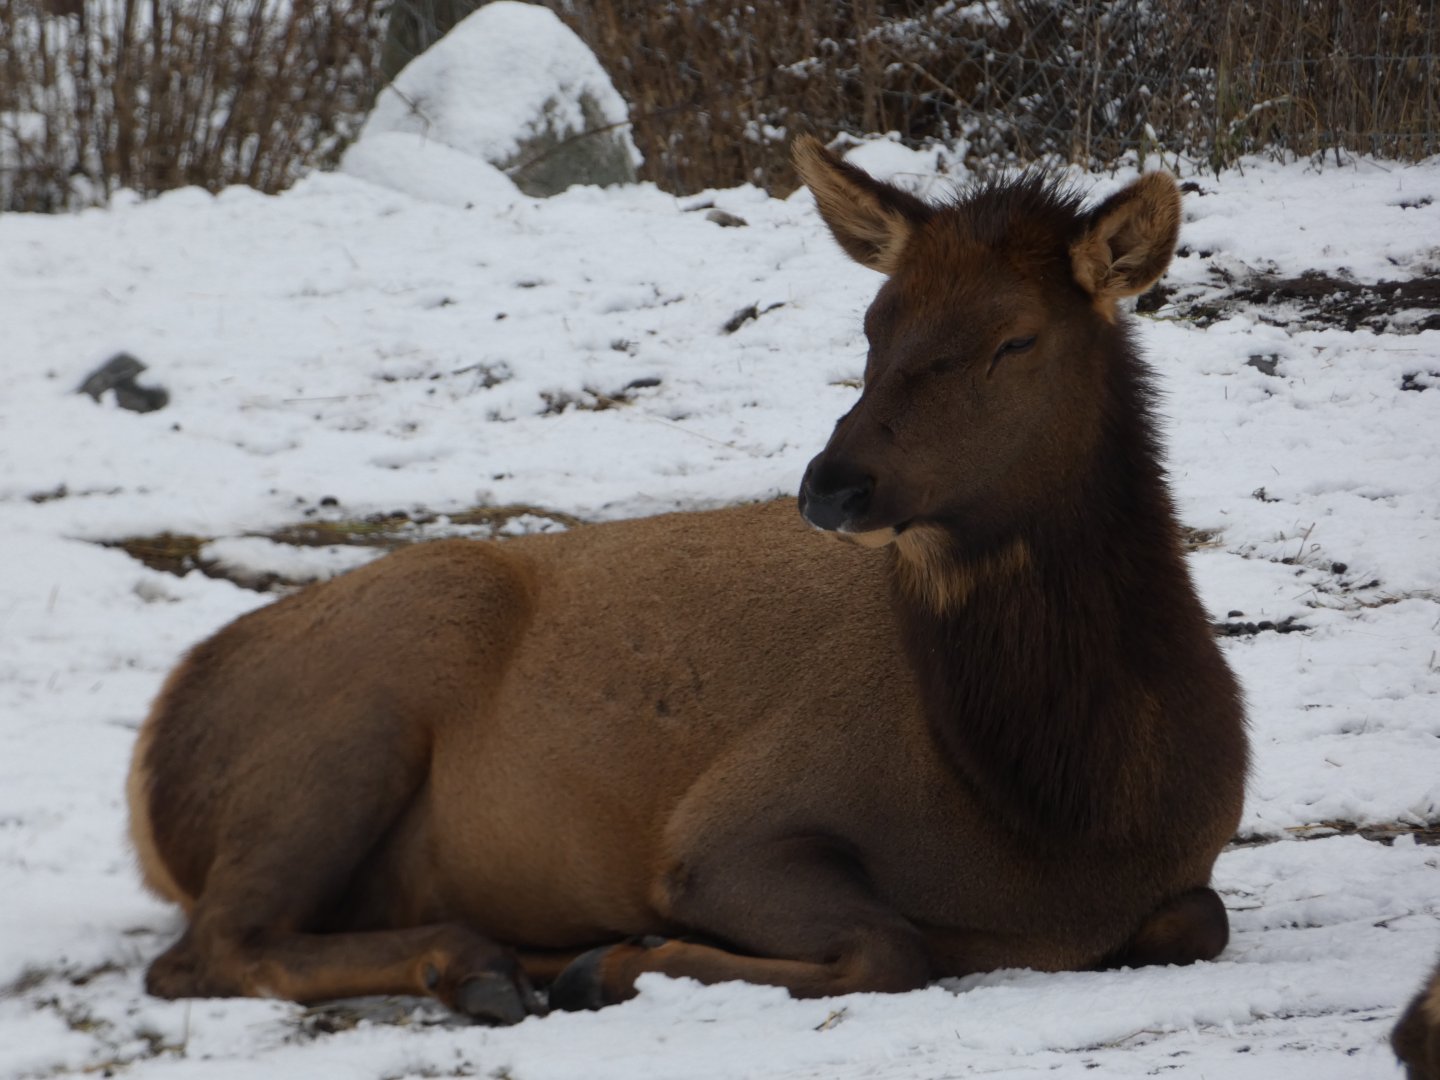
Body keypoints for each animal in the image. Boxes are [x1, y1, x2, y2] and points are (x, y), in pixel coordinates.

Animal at [126, 137, 1248, 1024]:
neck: (1058, 813)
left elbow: (1199, 918)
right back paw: (484, 965)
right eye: (875, 325)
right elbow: (893, 944)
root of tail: (150, 773)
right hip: (357, 707)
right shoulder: (723, 832)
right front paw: (618, 965)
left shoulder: (1186, 867)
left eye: (1017, 336)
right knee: (209, 948)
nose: (832, 482)